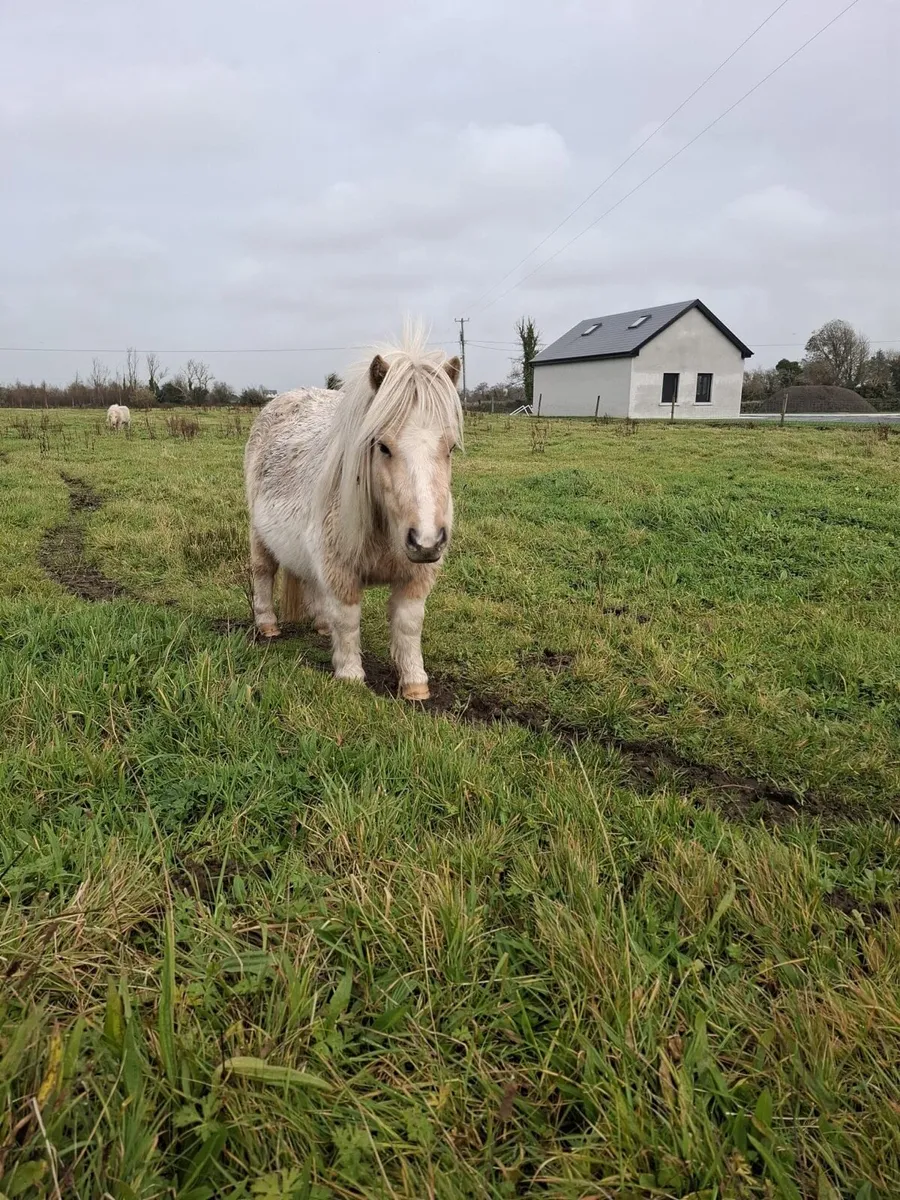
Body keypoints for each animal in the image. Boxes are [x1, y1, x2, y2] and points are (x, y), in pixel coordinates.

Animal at [244, 328, 462, 701]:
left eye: (450, 447)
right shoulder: (340, 569)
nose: (426, 542)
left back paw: (320, 625)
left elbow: (408, 625)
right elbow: (348, 620)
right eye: (383, 446)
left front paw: (415, 685)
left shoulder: (416, 577)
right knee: (263, 573)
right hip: (260, 535)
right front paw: (350, 676)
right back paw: (268, 625)